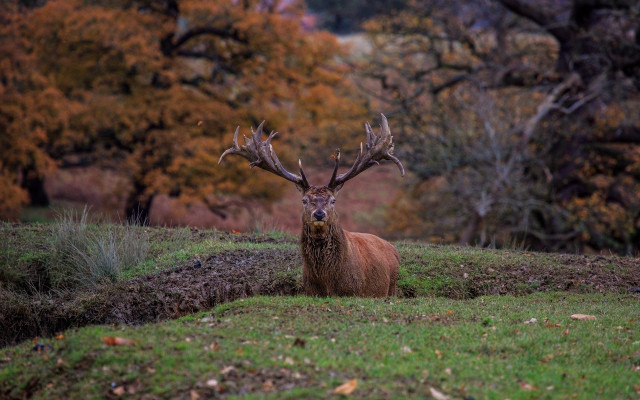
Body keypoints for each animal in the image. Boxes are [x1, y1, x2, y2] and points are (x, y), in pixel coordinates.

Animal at [218, 114, 404, 297]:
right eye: (304, 200)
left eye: (333, 200)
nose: (319, 214)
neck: (327, 282)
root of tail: (393, 248)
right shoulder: (309, 291)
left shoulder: (355, 291)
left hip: (392, 287)